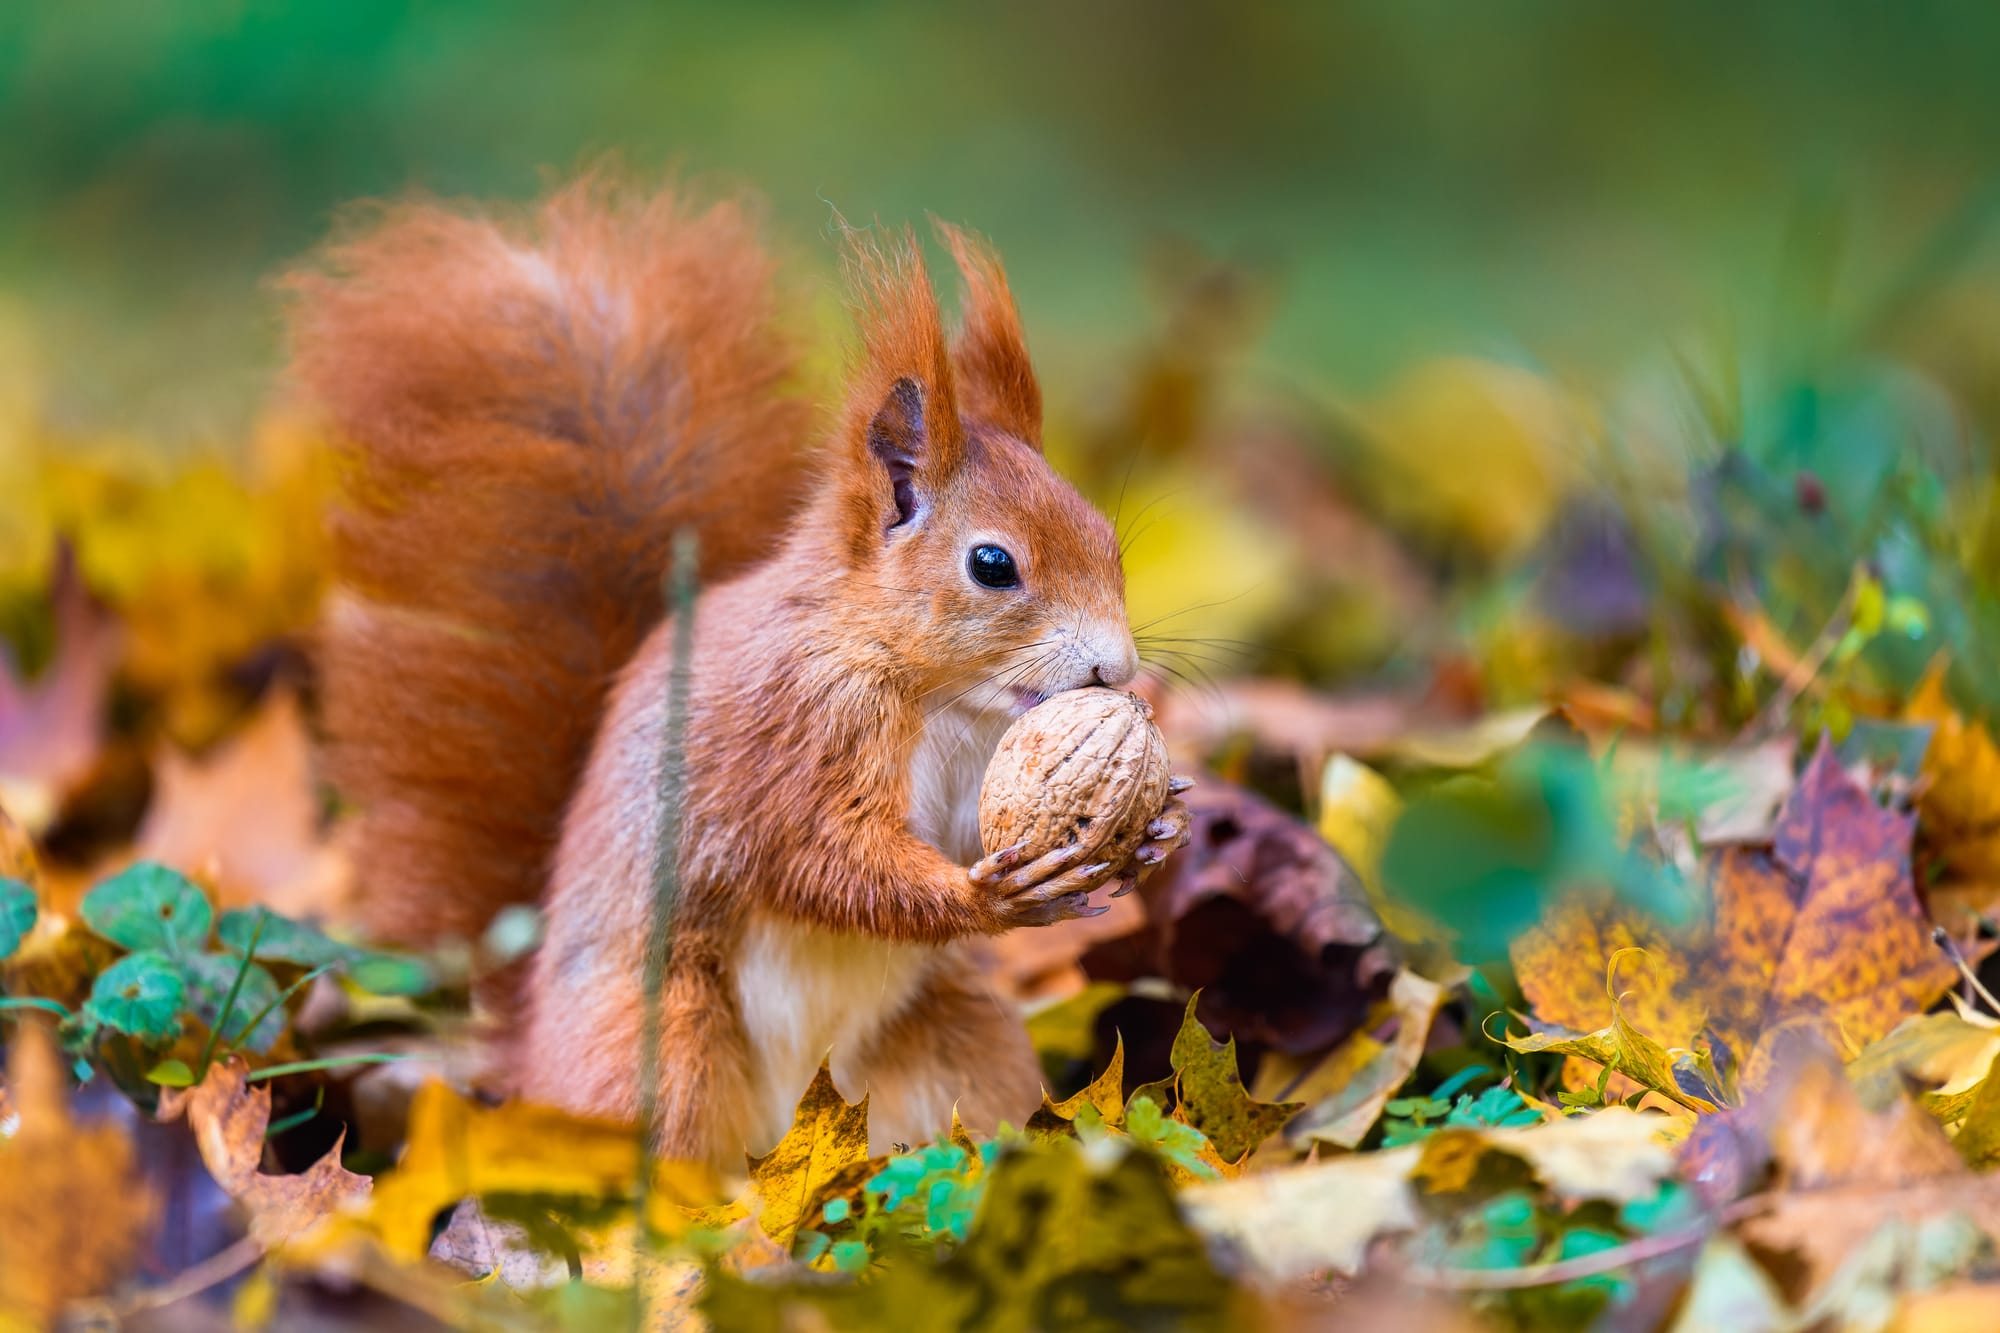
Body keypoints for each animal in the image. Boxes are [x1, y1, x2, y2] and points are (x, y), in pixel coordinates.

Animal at [284, 179, 1184, 1160]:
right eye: (992, 565)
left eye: (1106, 536)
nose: (1117, 669)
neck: (942, 698)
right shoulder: (792, 736)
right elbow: (825, 863)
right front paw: (993, 896)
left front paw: (1157, 828)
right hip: (663, 1044)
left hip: (958, 1040)